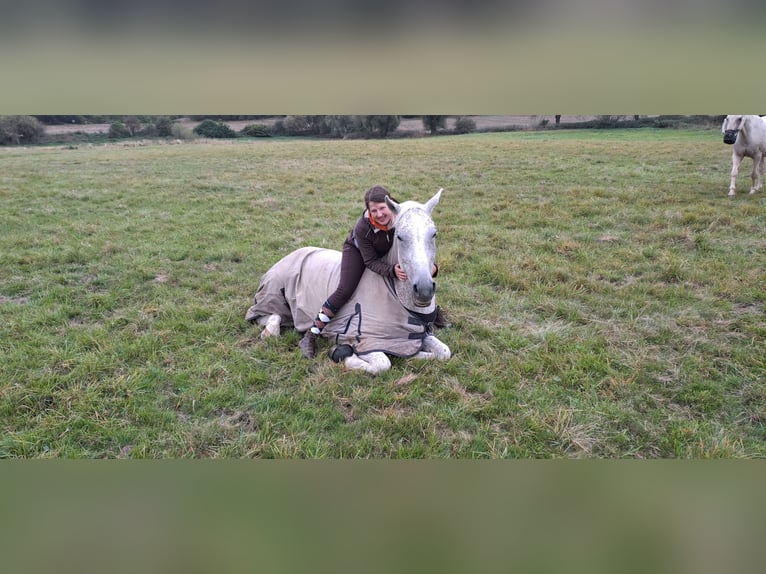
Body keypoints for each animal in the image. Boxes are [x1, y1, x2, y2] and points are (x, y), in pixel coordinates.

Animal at [244, 190, 450, 378]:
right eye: (399, 236)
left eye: (434, 234)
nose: (424, 289)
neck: (395, 296)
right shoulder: (364, 340)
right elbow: (382, 364)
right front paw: (341, 353)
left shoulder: (410, 337)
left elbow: (443, 352)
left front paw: (418, 355)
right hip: (272, 296)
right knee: (266, 316)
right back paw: (273, 332)